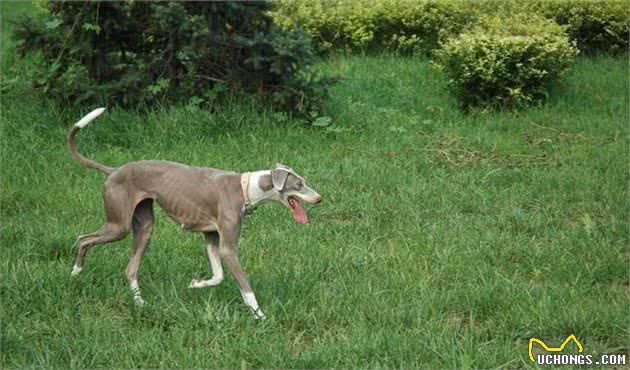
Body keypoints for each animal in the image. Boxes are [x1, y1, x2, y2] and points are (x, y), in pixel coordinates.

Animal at [67, 107, 324, 318]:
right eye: (299, 184)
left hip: (145, 225)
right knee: (83, 239)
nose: (320, 198)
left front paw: (196, 284)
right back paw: (74, 274)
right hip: (119, 225)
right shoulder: (228, 247)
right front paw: (260, 317)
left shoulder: (211, 237)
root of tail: (114, 170)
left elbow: (218, 276)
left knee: (130, 268)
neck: (245, 187)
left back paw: (140, 303)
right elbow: (245, 288)